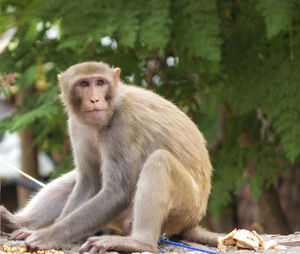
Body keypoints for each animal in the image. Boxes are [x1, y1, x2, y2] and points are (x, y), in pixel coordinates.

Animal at [0, 61, 220, 252]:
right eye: (84, 84)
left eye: (100, 82)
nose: (94, 99)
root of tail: (193, 221)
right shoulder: (75, 126)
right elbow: (88, 182)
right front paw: (40, 230)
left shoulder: (122, 127)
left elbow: (117, 192)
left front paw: (48, 236)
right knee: (77, 178)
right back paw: (16, 222)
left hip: (186, 208)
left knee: (159, 161)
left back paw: (139, 243)